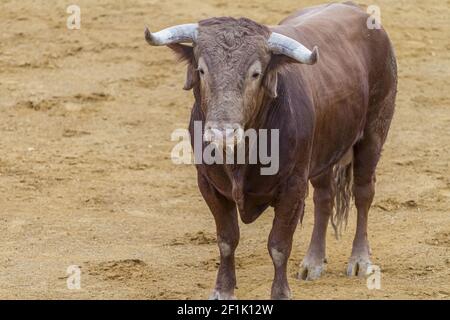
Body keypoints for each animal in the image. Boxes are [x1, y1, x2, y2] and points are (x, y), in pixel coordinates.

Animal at [145, 1, 398, 300]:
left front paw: (280, 293)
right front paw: (223, 290)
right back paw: (313, 262)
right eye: (203, 70)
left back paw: (359, 260)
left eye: (256, 73)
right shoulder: (208, 184)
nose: (222, 133)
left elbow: (279, 245)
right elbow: (227, 240)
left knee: (363, 193)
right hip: (323, 154)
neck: (241, 156)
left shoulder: (293, 188)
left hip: (373, 133)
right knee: (324, 198)